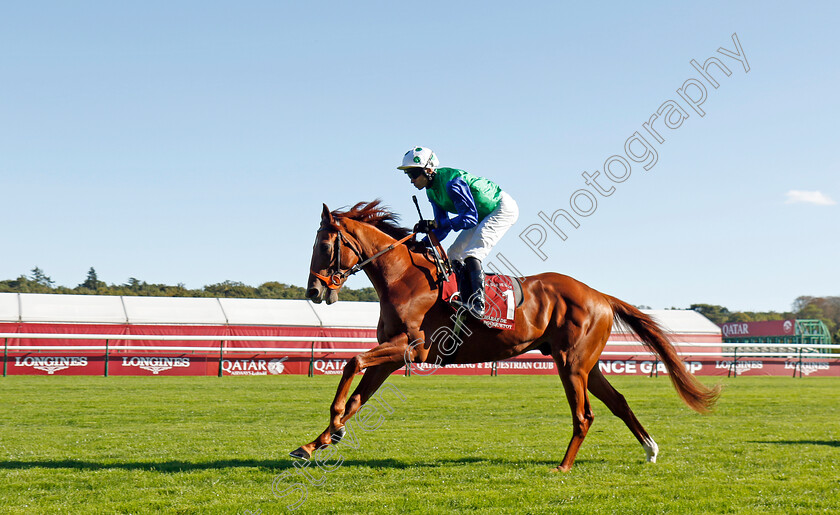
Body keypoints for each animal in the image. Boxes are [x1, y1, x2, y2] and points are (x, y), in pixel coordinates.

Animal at [294, 201, 716, 472]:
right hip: (587, 365)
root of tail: (600, 296)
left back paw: (563, 466)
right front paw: (318, 441)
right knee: (619, 402)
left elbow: (351, 362)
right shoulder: (393, 355)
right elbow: (357, 395)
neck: (404, 277)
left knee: (584, 415)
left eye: (325, 245)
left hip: (571, 364)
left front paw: (333, 425)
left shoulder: (410, 349)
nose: (313, 292)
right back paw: (650, 450)